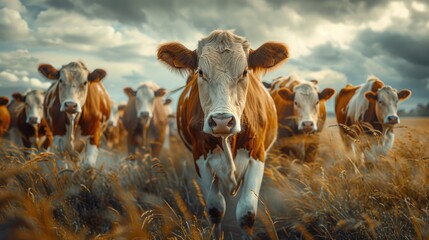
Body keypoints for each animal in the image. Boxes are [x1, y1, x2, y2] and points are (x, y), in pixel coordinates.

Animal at [155, 29, 290, 236]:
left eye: (244, 72)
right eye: (201, 72)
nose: (221, 121)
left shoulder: (257, 156)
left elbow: (246, 212)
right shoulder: (201, 159)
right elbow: (215, 209)